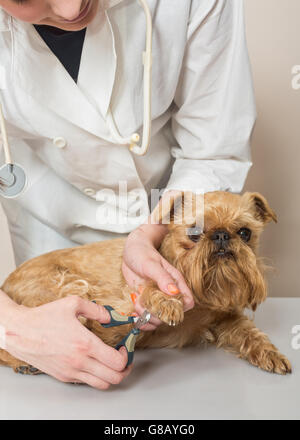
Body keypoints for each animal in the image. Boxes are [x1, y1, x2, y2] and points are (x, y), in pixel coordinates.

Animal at [0, 191, 290, 376]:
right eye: (194, 232)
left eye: (245, 233)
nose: (221, 236)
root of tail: (5, 284)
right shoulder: (130, 293)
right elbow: (150, 287)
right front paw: (168, 301)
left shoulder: (225, 319)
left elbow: (248, 332)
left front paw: (269, 353)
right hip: (66, 288)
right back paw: (23, 362)